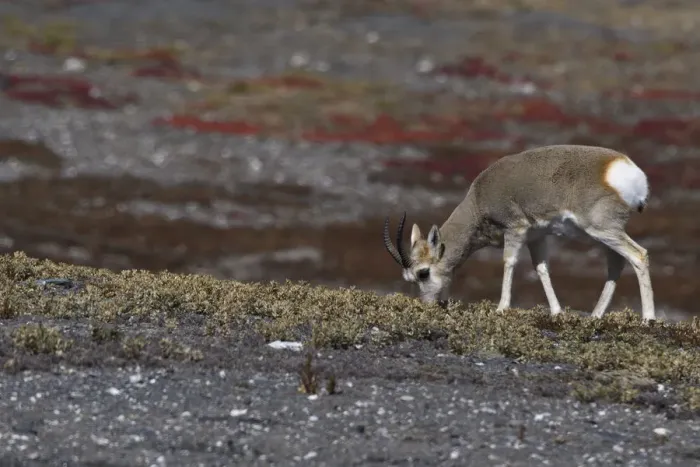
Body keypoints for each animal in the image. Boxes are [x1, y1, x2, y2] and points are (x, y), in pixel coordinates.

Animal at [383, 144, 656, 321]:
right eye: (409, 278)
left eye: (423, 273)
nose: (428, 305)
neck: (479, 199)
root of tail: (626, 170)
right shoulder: (537, 237)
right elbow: (541, 269)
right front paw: (556, 312)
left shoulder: (515, 229)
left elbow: (509, 262)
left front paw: (502, 308)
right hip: (597, 235)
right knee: (617, 261)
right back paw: (596, 315)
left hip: (601, 230)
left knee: (639, 255)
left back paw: (648, 318)